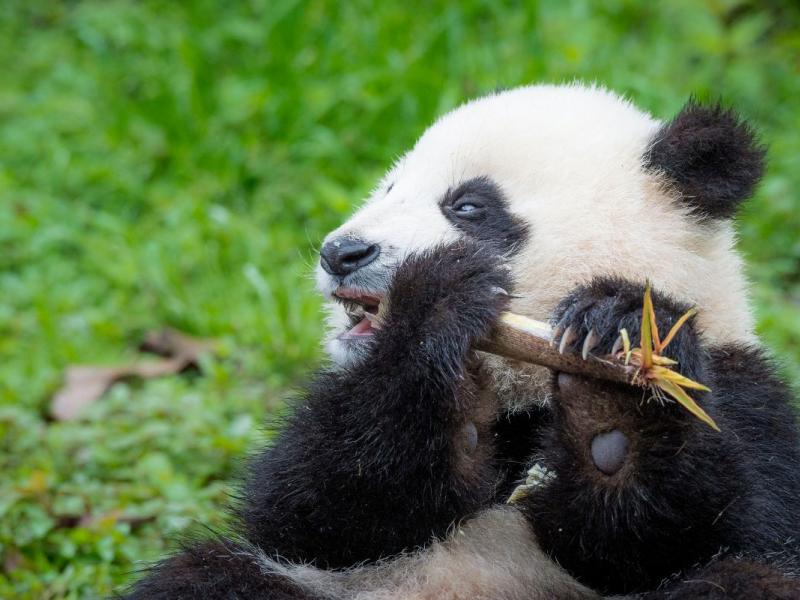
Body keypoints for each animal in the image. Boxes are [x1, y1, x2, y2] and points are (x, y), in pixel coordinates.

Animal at [124, 83, 800, 599]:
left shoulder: (744, 394)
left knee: (740, 582)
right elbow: (315, 511)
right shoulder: (337, 517)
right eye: (389, 189)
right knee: (208, 577)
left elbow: (715, 528)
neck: (525, 389)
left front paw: (618, 379)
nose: (342, 253)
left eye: (468, 205)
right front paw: (439, 309)